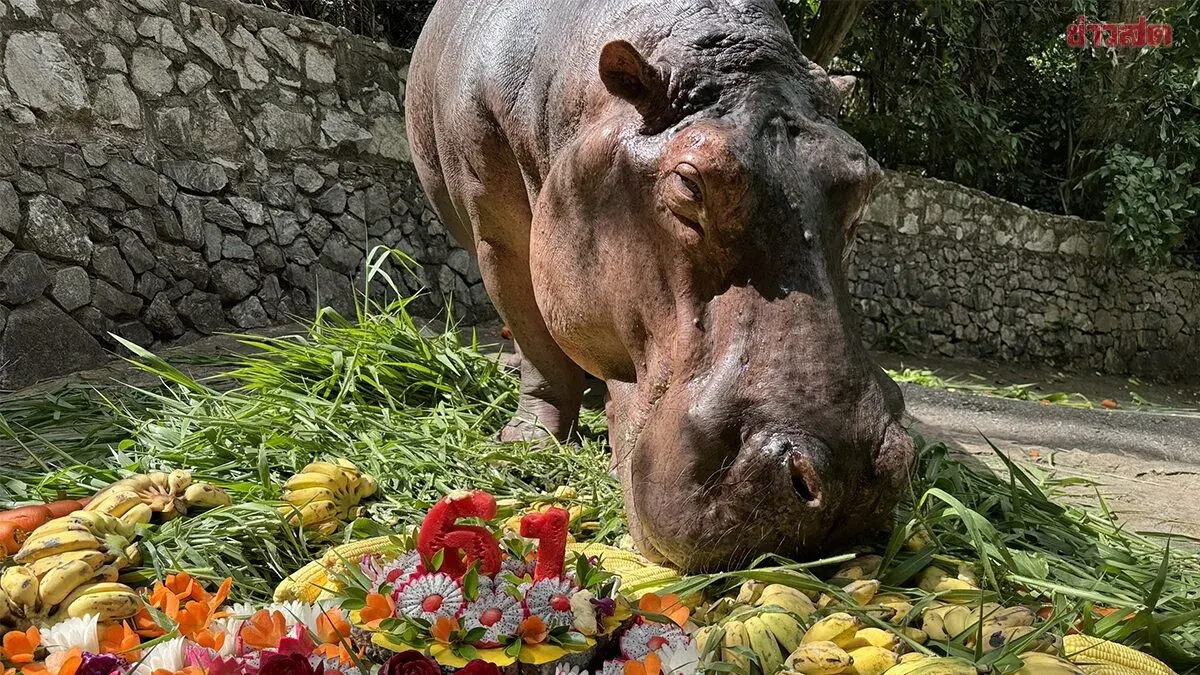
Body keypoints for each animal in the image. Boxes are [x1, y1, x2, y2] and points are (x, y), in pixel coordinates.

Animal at [406, 0, 914, 572]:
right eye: (689, 183)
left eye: (865, 182)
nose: (845, 470)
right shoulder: (499, 240)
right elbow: (541, 349)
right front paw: (528, 440)